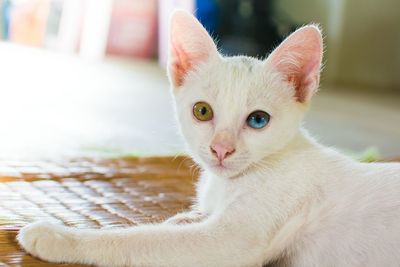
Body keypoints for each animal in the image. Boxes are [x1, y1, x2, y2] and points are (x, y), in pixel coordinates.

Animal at [16, 9, 400, 266]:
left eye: (258, 120)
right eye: (202, 111)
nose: (221, 149)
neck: (228, 183)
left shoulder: (230, 242)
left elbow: (141, 240)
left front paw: (60, 237)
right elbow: (177, 224)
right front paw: (184, 218)